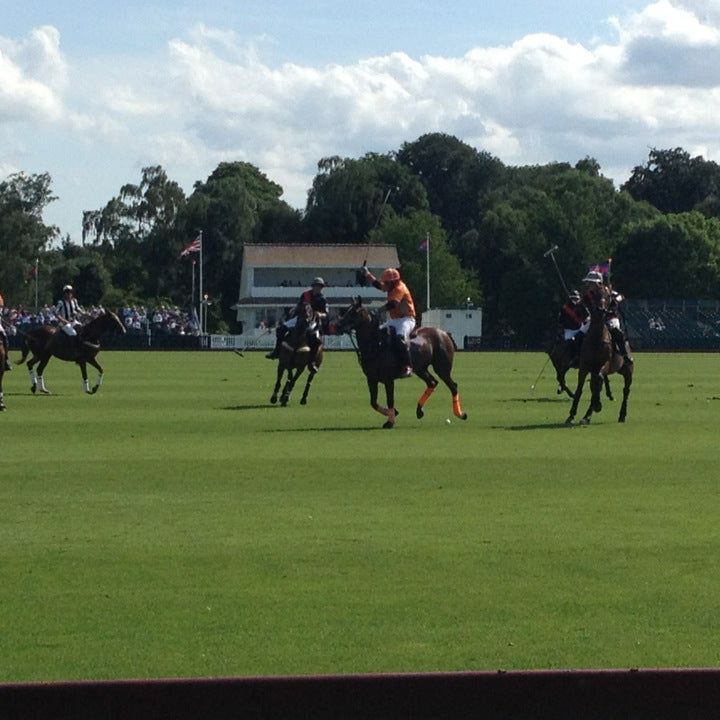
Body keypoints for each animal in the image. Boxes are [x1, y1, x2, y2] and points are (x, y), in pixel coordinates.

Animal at [336, 296, 466, 428]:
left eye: (354, 312)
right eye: (346, 310)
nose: (338, 325)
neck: (375, 344)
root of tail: (445, 333)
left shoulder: (388, 379)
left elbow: (390, 400)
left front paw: (390, 422)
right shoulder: (371, 379)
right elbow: (373, 402)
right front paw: (394, 413)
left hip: (442, 368)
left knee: (453, 386)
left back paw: (460, 414)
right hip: (421, 369)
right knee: (432, 383)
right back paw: (419, 411)